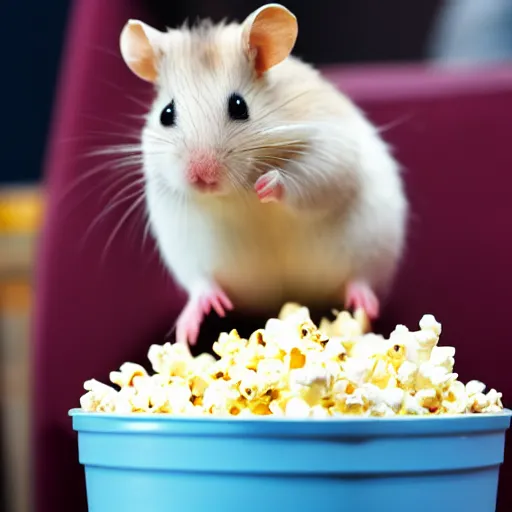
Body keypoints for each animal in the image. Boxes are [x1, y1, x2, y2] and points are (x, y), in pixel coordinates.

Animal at [119, 4, 408, 346]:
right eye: (166, 114)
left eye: (239, 106)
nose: (201, 177)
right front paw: (185, 337)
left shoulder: (330, 151)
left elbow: (307, 180)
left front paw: (265, 185)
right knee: (203, 284)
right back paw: (190, 327)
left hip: (372, 250)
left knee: (359, 280)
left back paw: (364, 309)